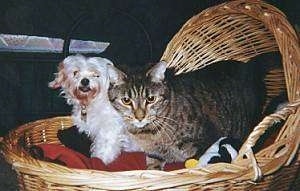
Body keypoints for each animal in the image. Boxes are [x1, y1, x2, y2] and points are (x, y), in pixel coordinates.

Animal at [107, 60, 264, 169]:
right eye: (126, 100)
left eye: (151, 98)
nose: (140, 117)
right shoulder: (154, 154)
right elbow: (153, 166)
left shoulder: (207, 138)